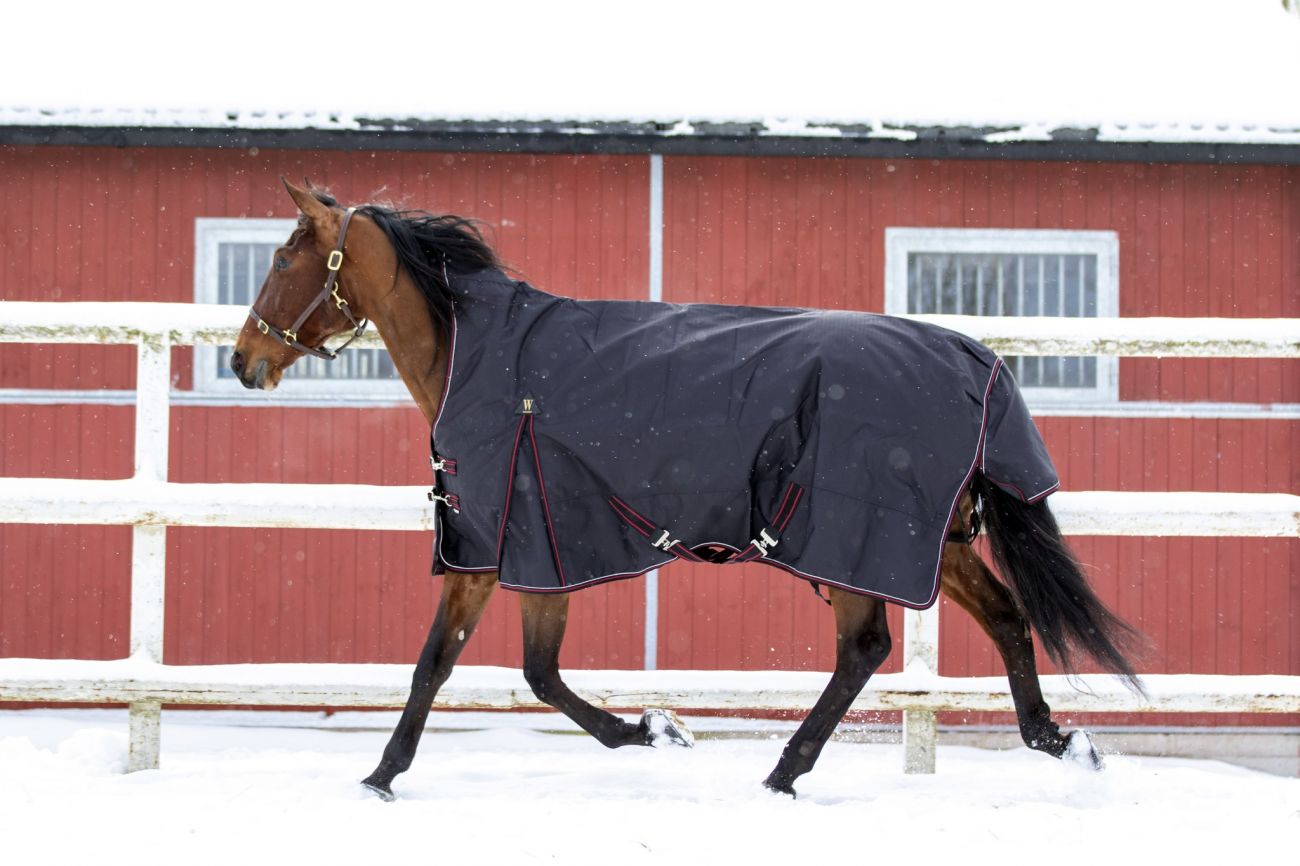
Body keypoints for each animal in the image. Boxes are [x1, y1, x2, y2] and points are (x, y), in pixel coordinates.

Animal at [231, 178, 1143, 801]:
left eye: (281, 258)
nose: (245, 360)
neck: (485, 362)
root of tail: (973, 358)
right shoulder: (541, 550)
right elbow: (538, 673)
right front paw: (653, 729)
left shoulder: (491, 548)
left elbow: (437, 666)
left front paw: (381, 775)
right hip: (931, 542)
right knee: (1006, 618)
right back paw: (1060, 741)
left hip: (857, 544)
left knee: (865, 649)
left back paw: (784, 772)